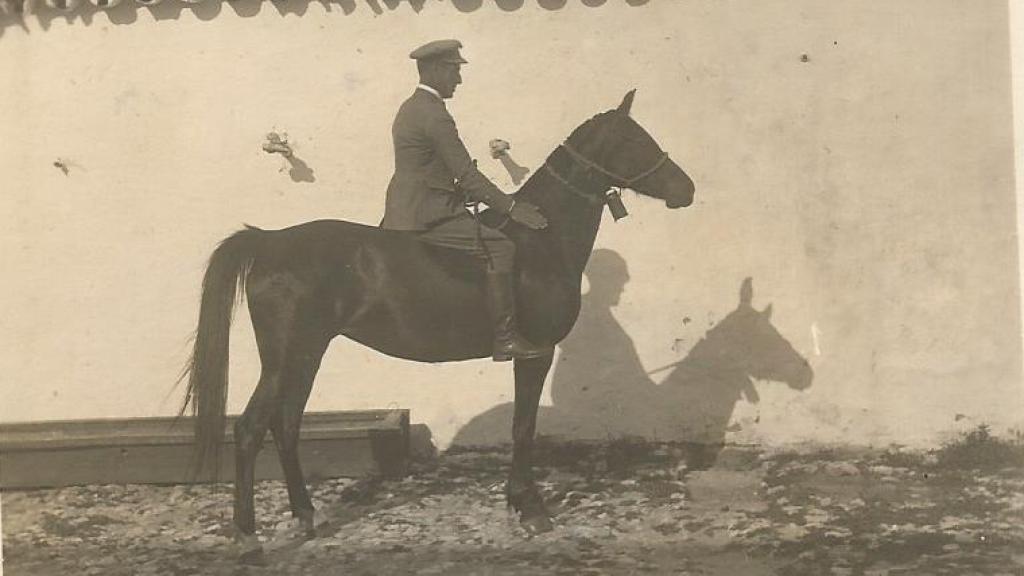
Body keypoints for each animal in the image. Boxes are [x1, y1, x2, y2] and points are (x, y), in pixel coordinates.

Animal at [182, 90, 696, 561]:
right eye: (634, 140)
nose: (686, 189)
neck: (539, 241)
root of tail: (269, 241)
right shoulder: (537, 352)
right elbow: (523, 426)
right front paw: (529, 508)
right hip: (287, 357)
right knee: (251, 429)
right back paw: (248, 537)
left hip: (307, 355)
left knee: (285, 425)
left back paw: (307, 517)